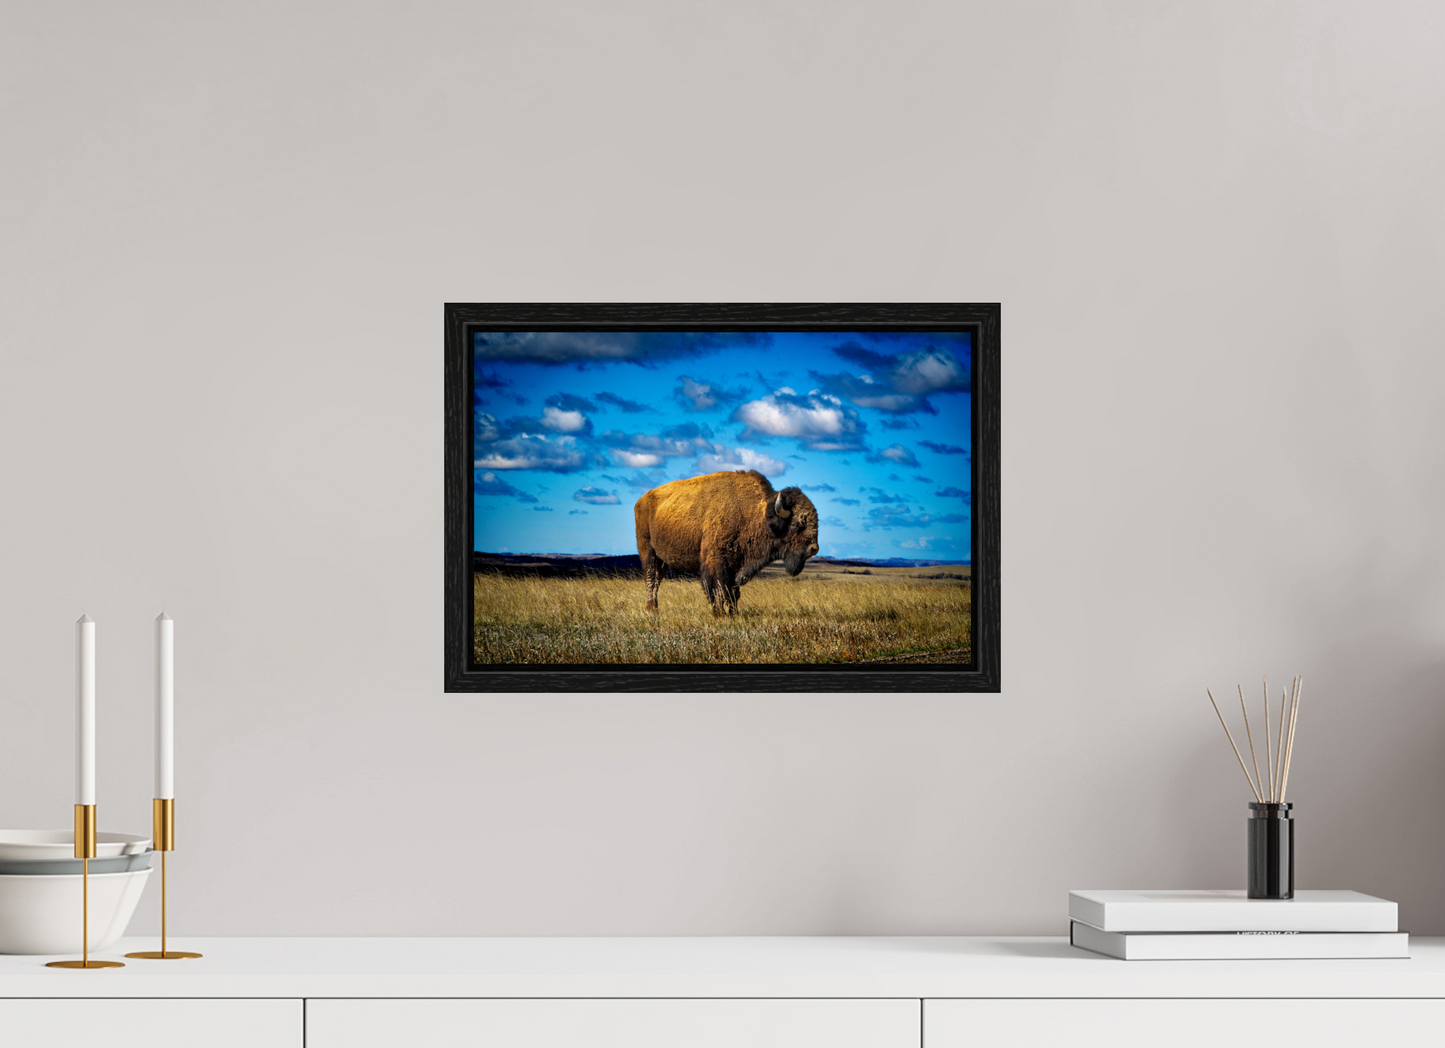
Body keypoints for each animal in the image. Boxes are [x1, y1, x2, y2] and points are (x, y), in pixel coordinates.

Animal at [634, 470, 820, 615]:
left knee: (657, 579)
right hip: (648, 550)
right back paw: (650, 609)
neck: (754, 513)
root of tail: (641, 500)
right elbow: (719, 589)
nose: (814, 549)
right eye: (797, 524)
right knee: (650, 577)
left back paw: (655, 607)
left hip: (662, 559)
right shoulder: (717, 562)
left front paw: (734, 613)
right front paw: (719, 613)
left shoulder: (737, 566)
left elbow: (733, 591)